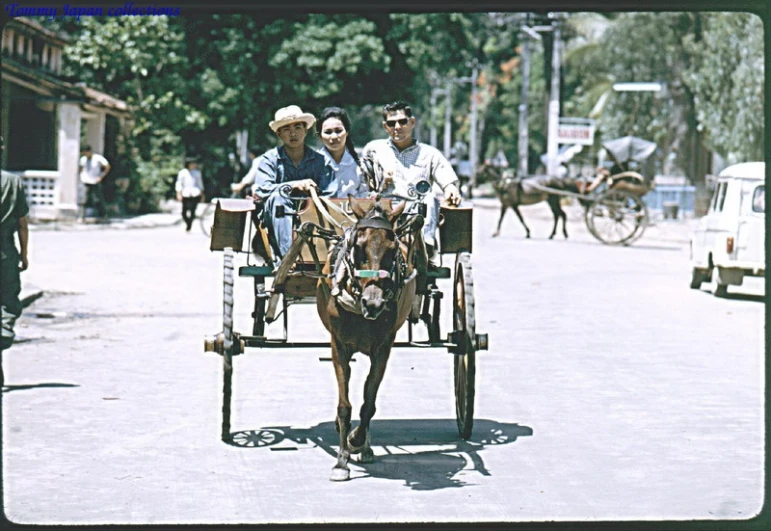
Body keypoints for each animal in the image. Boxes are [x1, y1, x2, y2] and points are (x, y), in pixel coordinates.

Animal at [316, 197, 420, 484]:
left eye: (392, 249)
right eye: (358, 247)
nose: (373, 303)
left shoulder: (383, 348)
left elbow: (368, 403)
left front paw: (356, 441)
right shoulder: (339, 345)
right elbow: (345, 405)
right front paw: (341, 461)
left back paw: (365, 447)